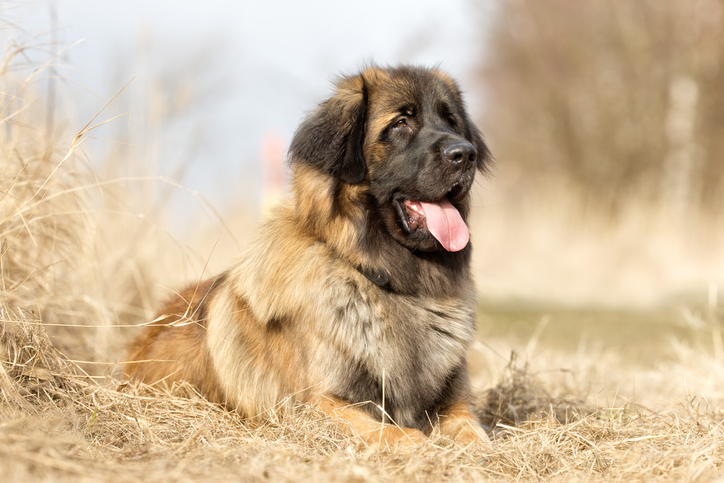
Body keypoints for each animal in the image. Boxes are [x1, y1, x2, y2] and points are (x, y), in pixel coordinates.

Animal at [127, 65, 494, 450]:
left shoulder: (456, 401)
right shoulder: (317, 403)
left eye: (451, 122)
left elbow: (472, 429)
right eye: (400, 123)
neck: (390, 282)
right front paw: (419, 442)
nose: (465, 154)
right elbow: (391, 431)